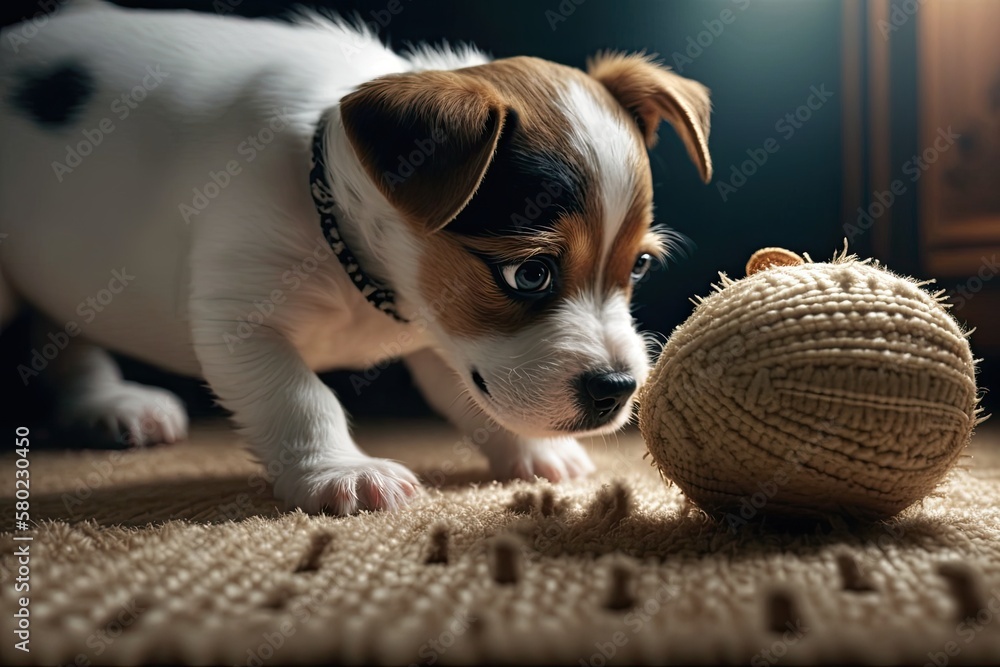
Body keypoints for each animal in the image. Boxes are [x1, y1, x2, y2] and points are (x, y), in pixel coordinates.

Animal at [0, 0, 712, 516]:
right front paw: (341, 473)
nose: (618, 390)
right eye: (529, 273)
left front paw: (535, 449)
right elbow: (297, 396)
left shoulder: (445, 332)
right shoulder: (239, 316)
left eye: (638, 267)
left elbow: (474, 395)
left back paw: (111, 407)